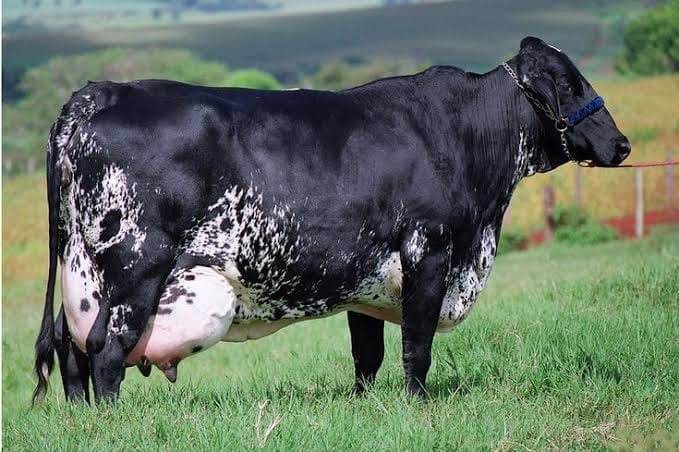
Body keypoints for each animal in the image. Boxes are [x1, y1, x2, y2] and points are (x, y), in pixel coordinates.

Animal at [33, 37, 630, 404]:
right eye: (570, 83)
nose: (622, 144)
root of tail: (100, 92)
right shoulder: (430, 252)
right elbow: (417, 347)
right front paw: (418, 406)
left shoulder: (367, 277)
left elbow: (368, 356)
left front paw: (366, 406)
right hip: (137, 270)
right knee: (106, 350)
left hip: (82, 277)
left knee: (69, 348)